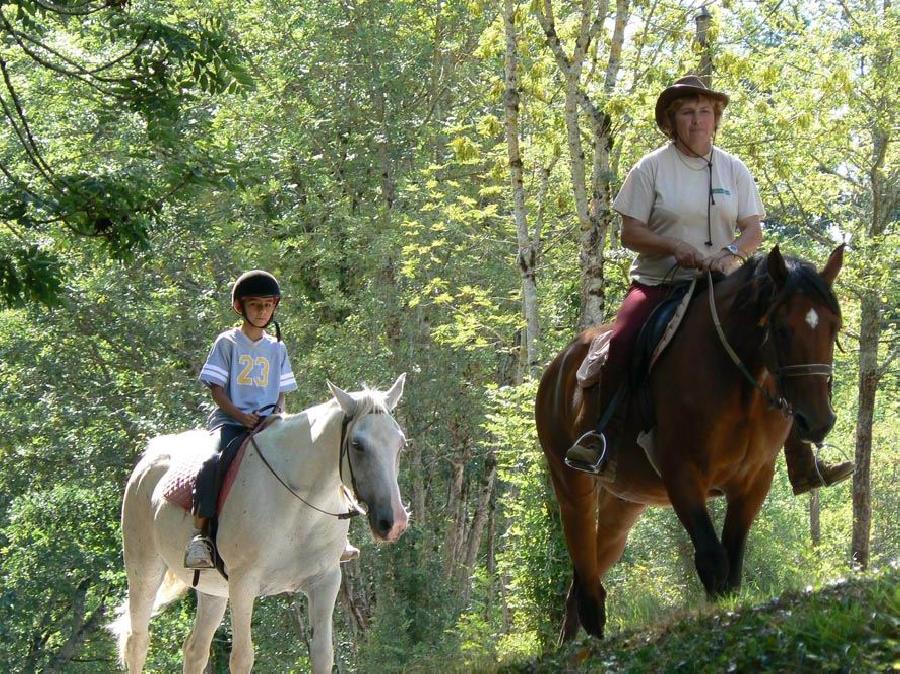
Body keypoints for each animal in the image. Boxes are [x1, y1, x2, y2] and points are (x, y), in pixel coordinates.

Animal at [106, 372, 412, 672]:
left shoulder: (325, 581)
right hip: (144, 569)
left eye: (400, 443)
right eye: (357, 445)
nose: (393, 522)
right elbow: (242, 658)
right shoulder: (244, 584)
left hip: (213, 589)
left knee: (195, 650)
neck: (299, 505)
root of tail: (147, 462)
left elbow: (323, 654)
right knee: (138, 642)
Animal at [540, 244, 844, 636]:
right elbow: (713, 560)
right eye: (781, 328)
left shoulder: (753, 481)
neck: (739, 385)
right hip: (572, 485)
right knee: (584, 569)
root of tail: (557, 367)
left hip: (623, 505)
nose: (817, 422)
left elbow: (734, 564)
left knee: (584, 577)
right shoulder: (681, 475)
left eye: (834, 327)